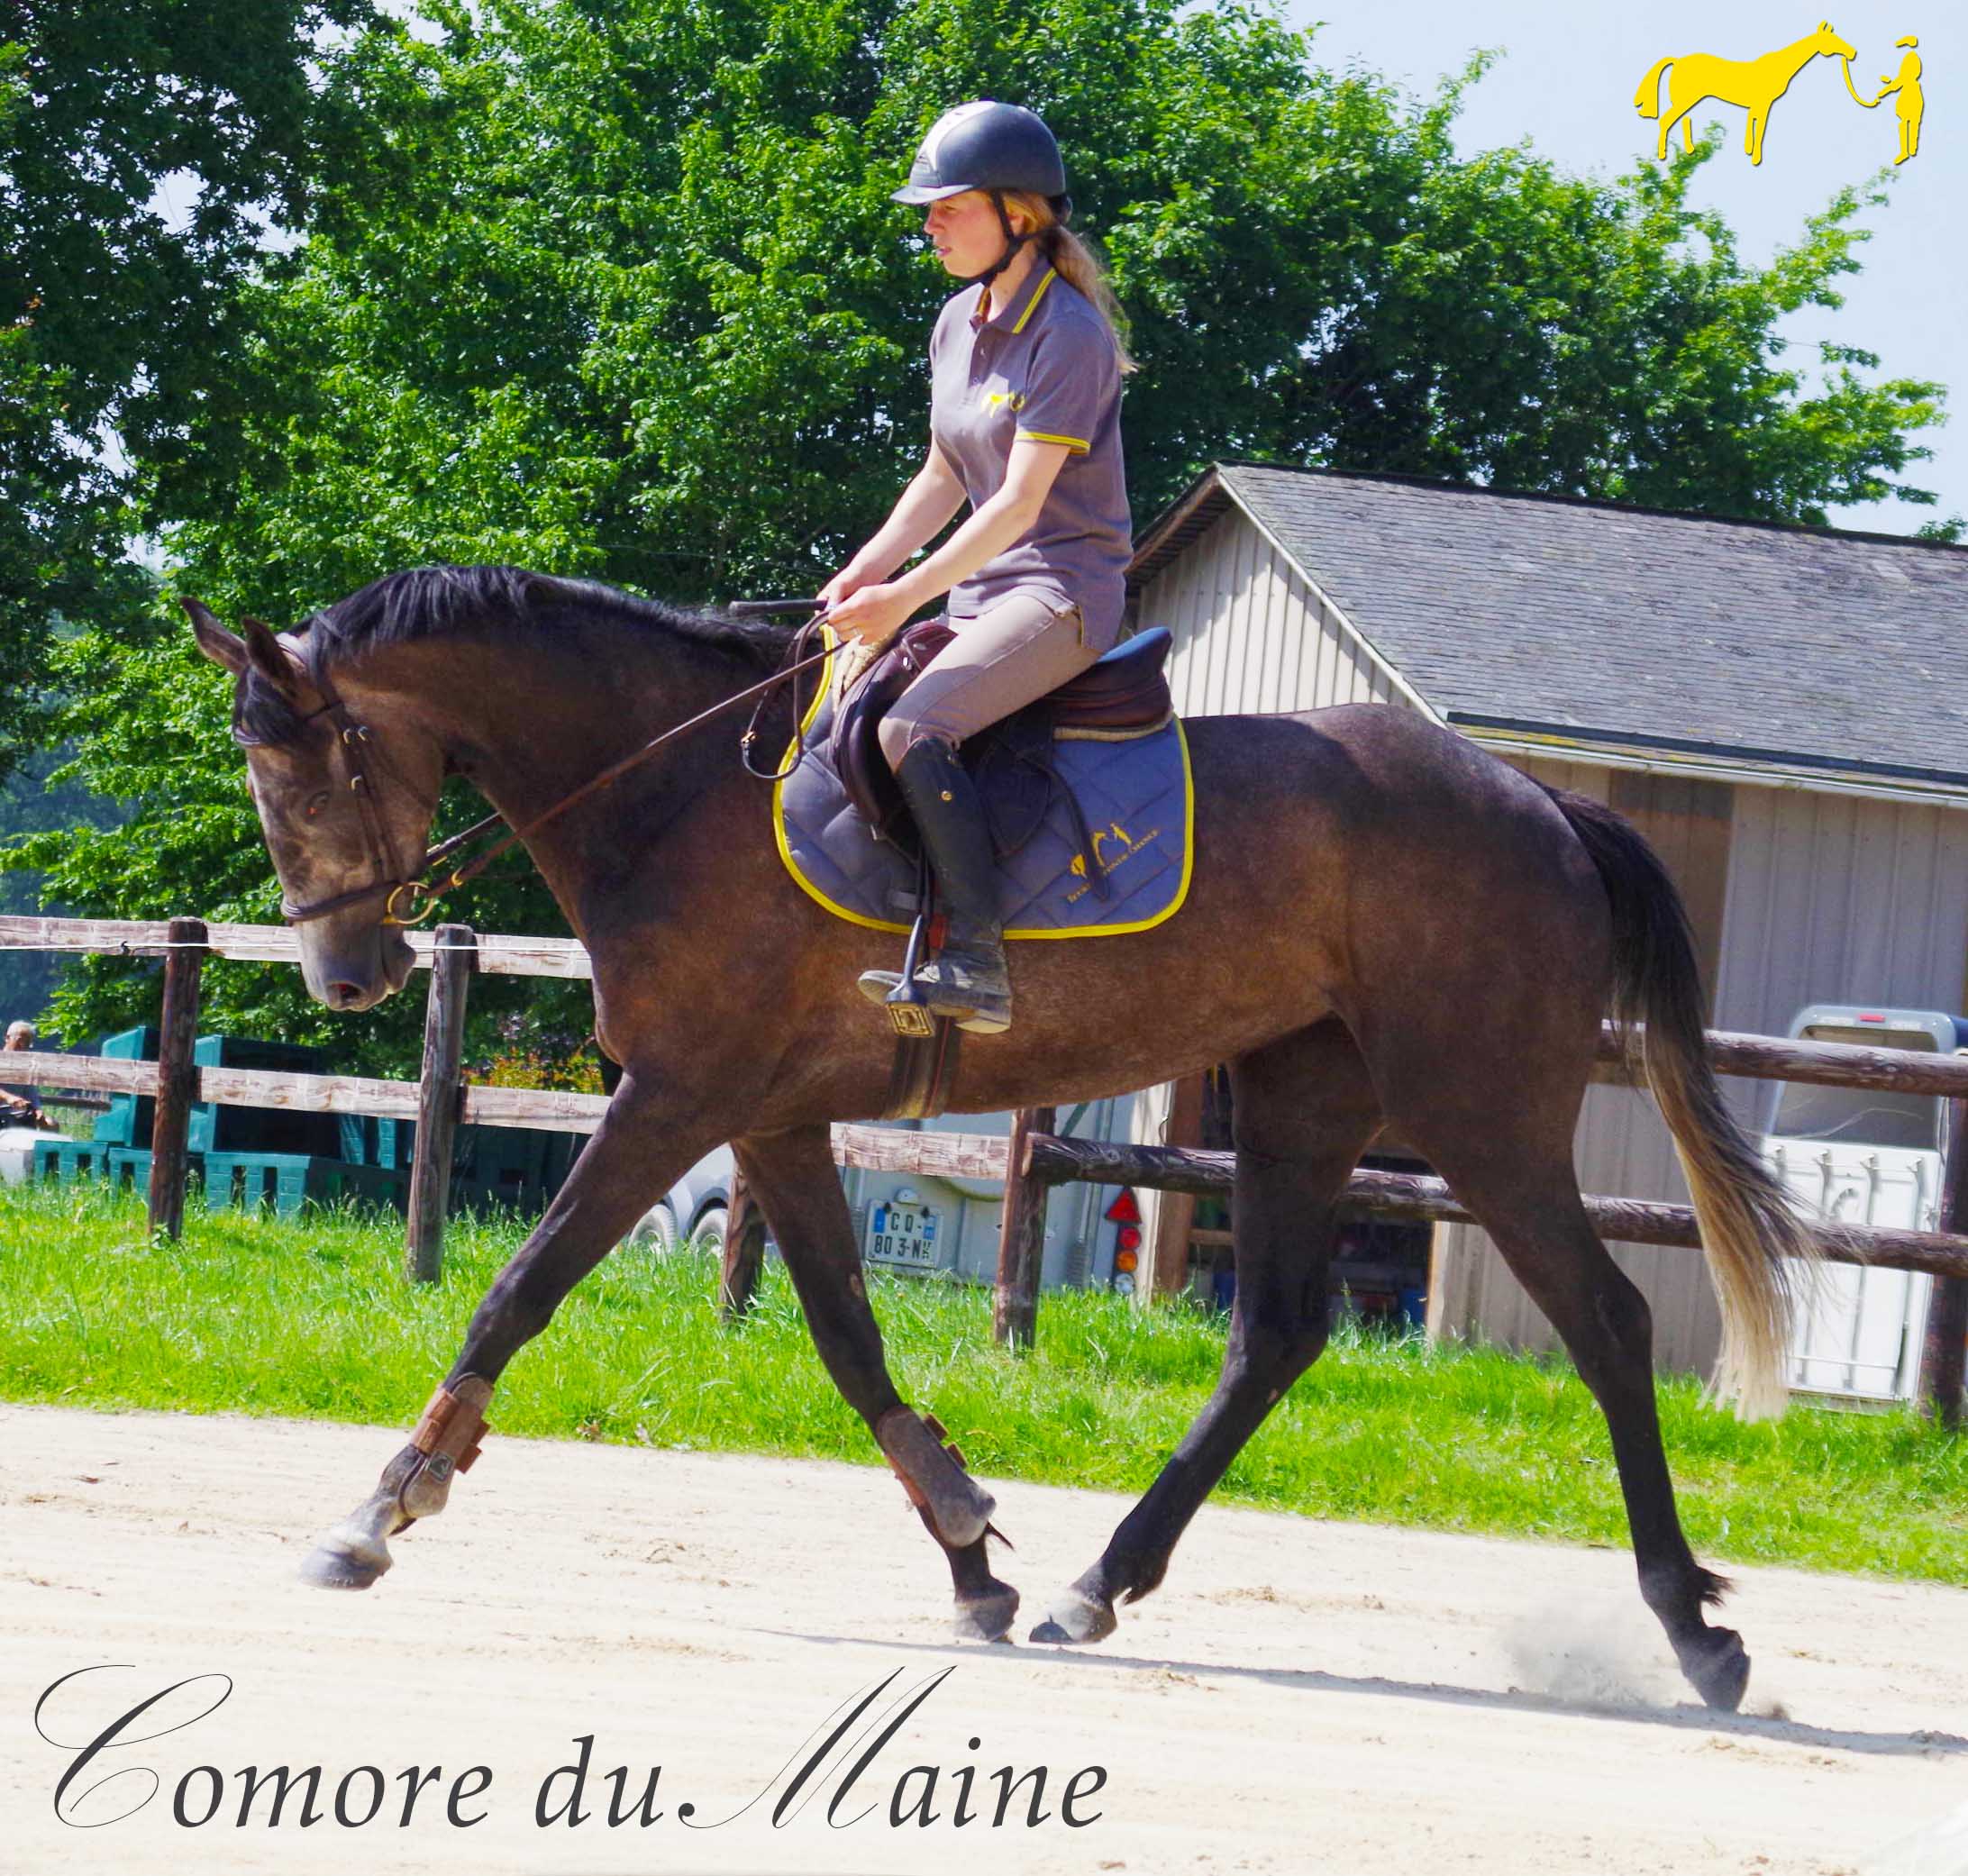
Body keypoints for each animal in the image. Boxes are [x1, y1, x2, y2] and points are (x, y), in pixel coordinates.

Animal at [185, 559, 1810, 1717]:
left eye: (314, 770)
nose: (346, 979)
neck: (673, 791)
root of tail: (1539, 798)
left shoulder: (679, 1097)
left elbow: (518, 1288)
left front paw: (383, 1504)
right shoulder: (770, 1117)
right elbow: (847, 1340)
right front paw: (968, 1545)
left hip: (1483, 1116)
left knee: (1603, 1319)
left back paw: (1694, 1629)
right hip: (1302, 1103)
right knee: (1273, 1335)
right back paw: (1100, 1580)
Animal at [1637, 19, 1849, 163]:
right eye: (1834, 39)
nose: (1852, 53)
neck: (1779, 67)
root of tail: (1677, 61)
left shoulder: (1757, 104)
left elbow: (1753, 124)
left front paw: (1749, 151)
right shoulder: (1765, 103)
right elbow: (1760, 128)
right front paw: (1755, 158)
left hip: (1685, 99)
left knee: (1683, 120)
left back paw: (1690, 151)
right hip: (1686, 99)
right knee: (1667, 120)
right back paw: (1663, 155)